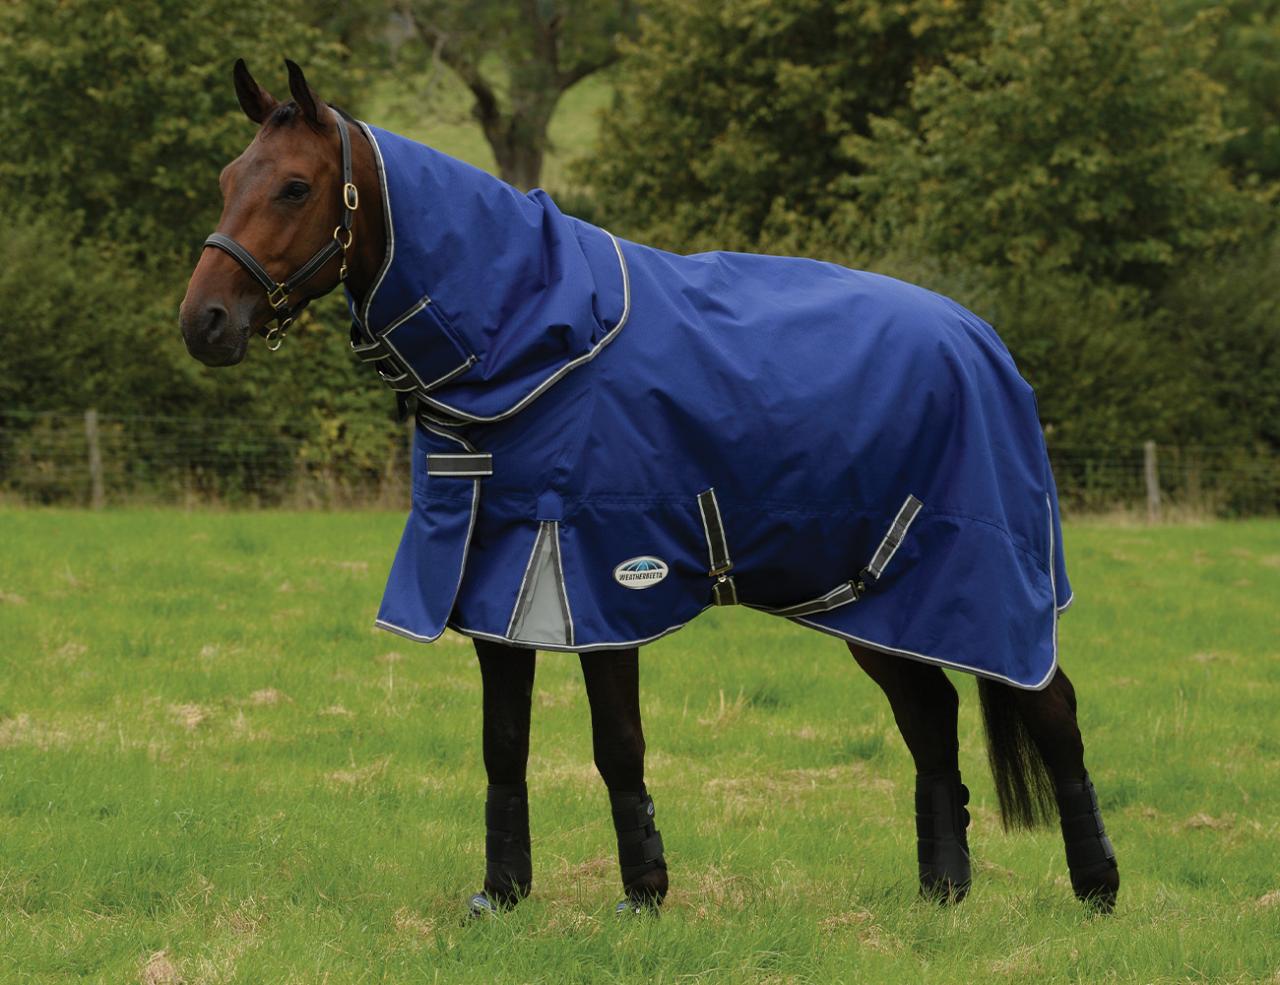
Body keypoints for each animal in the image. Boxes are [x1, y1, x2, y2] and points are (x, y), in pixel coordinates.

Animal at [179, 59, 1119, 917]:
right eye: (228, 180)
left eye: (296, 186)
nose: (204, 323)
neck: (534, 342)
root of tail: (983, 339)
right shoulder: (498, 583)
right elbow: (503, 743)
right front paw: (502, 894)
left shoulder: (601, 578)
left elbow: (617, 744)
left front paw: (644, 895)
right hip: (873, 599)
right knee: (930, 718)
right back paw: (942, 893)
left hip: (985, 582)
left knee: (1052, 707)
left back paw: (1098, 888)